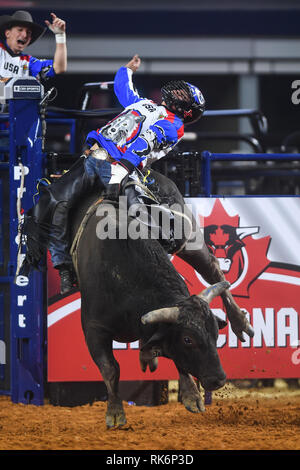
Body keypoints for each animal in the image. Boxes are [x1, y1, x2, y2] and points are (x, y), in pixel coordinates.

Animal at [67, 169, 253, 426]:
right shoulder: (93, 329)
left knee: (213, 268)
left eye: (216, 333)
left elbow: (175, 358)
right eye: (188, 339)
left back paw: (239, 321)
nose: (218, 379)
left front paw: (192, 395)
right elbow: (111, 368)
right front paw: (115, 412)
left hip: (189, 237)